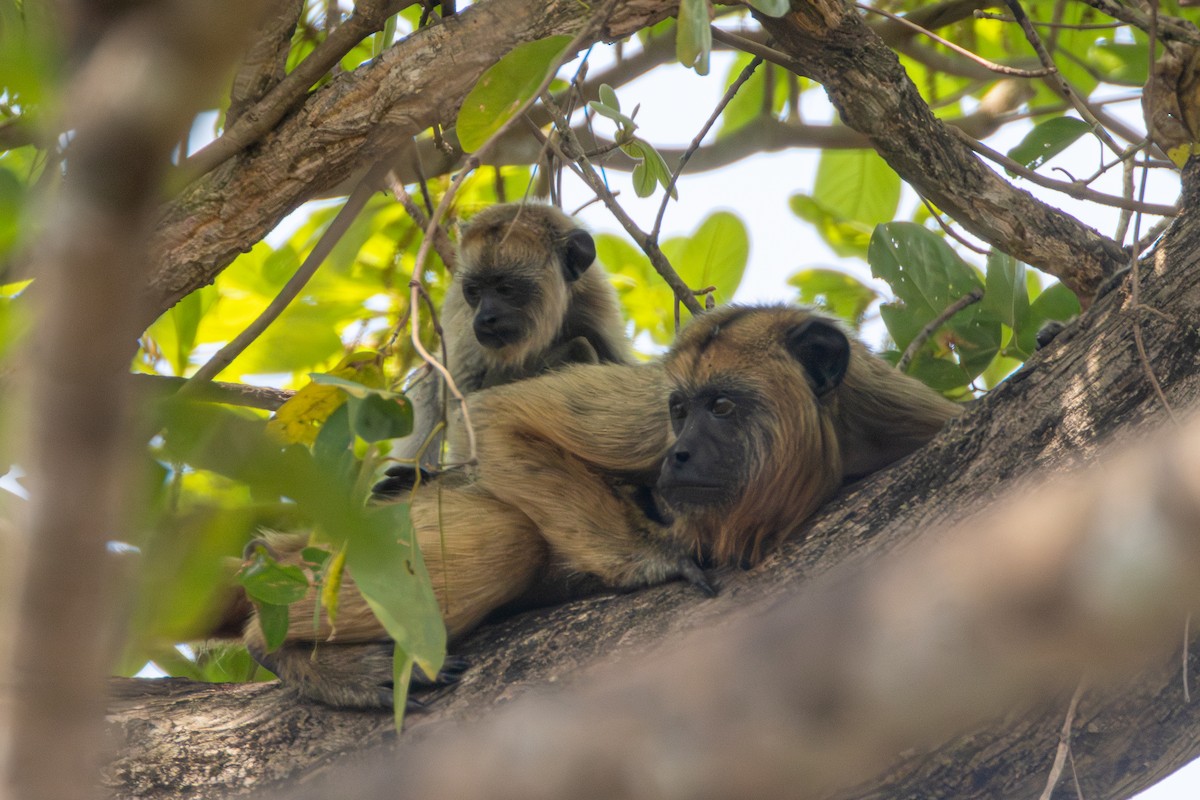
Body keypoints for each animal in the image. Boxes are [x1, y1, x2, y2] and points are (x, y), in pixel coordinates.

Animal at [247, 304, 962, 708]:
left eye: (722, 406)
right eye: (680, 410)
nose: (679, 454)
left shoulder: (899, 415)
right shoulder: (646, 408)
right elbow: (502, 416)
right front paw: (655, 562)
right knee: (505, 534)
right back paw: (289, 652)